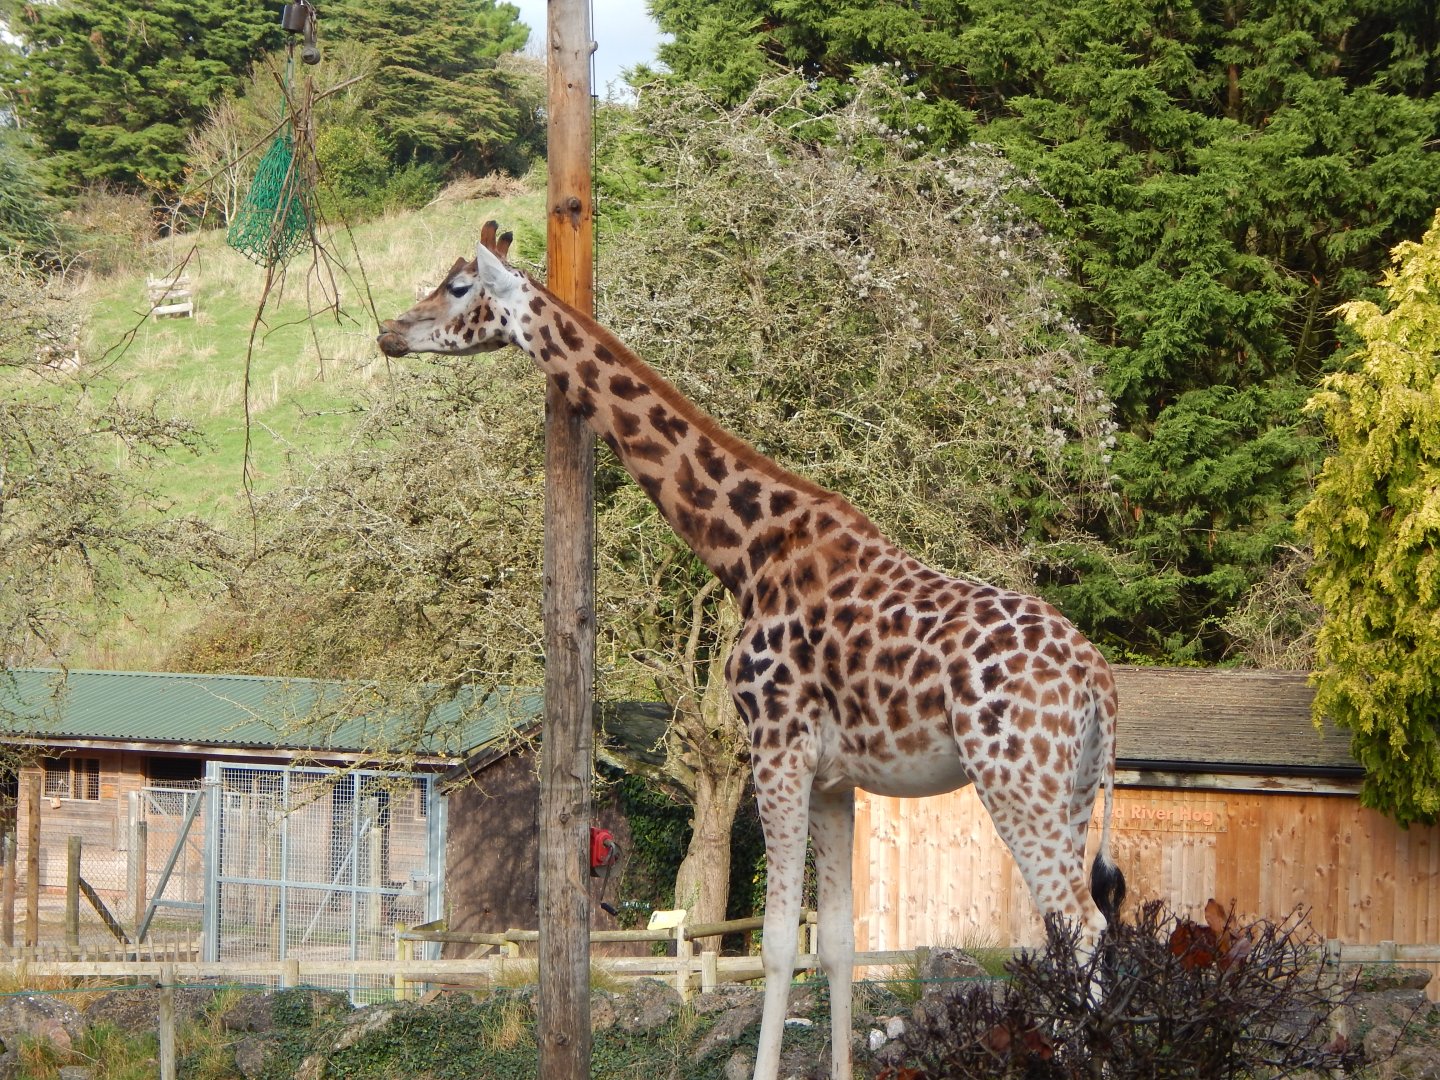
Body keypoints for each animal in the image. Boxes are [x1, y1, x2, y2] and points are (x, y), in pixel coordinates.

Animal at [377, 222, 1127, 1080]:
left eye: (459, 288)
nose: (390, 331)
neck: (743, 550)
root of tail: (1099, 682)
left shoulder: (776, 747)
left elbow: (773, 947)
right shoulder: (835, 778)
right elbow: (834, 946)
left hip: (1016, 781)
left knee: (1082, 927)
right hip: (1072, 788)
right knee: (1076, 931)